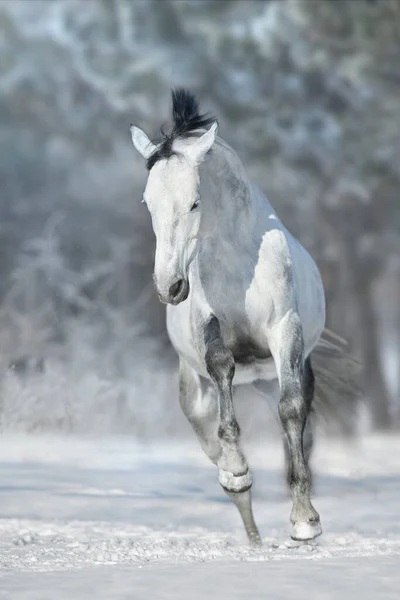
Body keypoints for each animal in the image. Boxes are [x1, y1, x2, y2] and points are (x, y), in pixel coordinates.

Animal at [131, 88, 360, 544]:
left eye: (194, 202)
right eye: (148, 202)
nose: (170, 286)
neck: (236, 258)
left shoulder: (284, 331)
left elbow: (291, 413)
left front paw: (305, 522)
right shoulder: (208, 324)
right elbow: (222, 369)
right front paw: (237, 469)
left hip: (286, 372)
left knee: (300, 427)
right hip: (193, 391)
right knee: (213, 447)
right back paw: (248, 521)